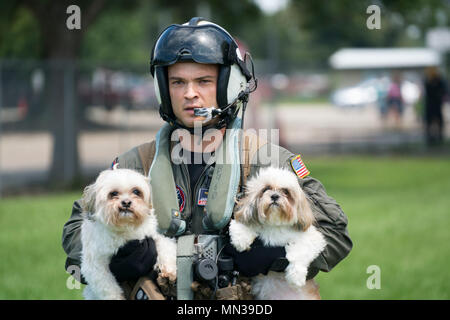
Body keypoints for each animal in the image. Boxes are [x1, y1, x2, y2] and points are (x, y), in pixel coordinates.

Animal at [80, 169, 175, 298]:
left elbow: (165, 245)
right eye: (113, 193)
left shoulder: (150, 236)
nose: (126, 202)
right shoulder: (96, 264)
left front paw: (169, 269)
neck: (125, 227)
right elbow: (108, 287)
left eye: (136, 191)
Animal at [230, 166, 326, 298]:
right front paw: (240, 240)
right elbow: (242, 224)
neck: (275, 224)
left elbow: (300, 252)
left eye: (285, 191)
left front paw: (296, 276)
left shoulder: (312, 238)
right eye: (266, 189)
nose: (275, 196)